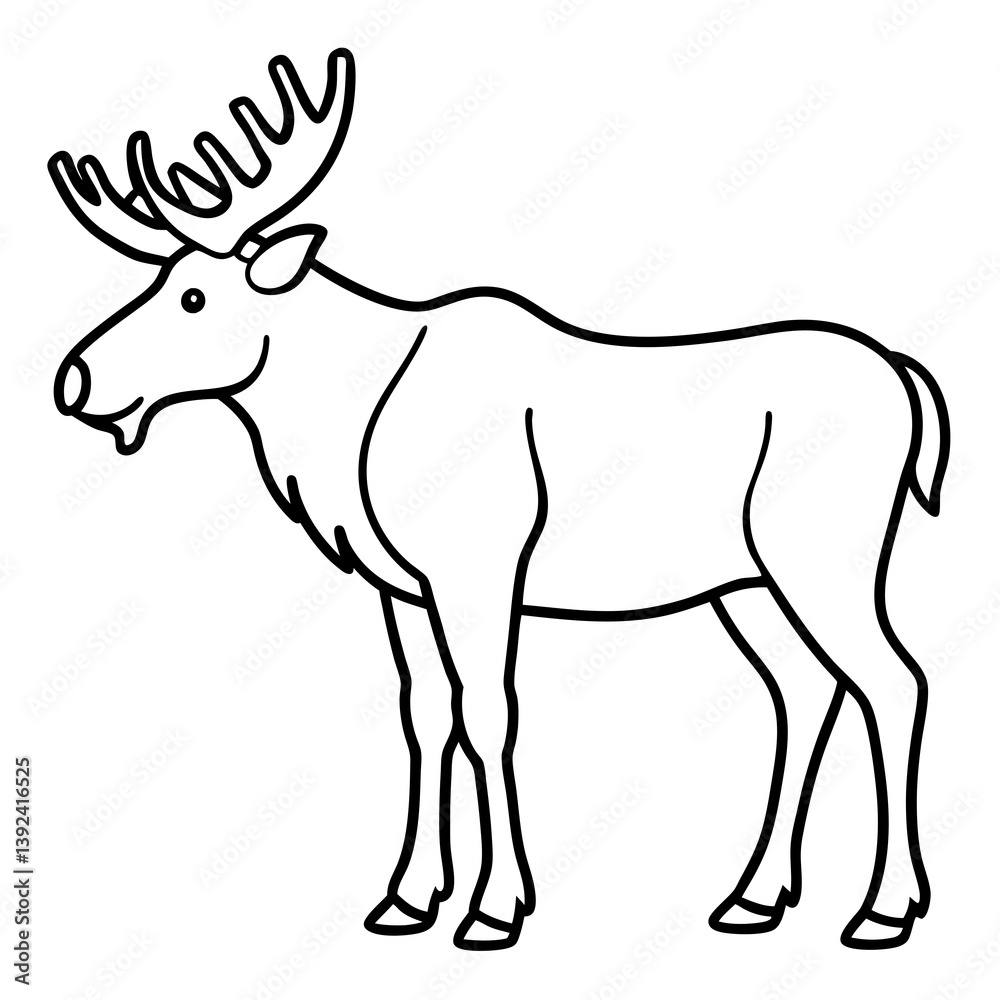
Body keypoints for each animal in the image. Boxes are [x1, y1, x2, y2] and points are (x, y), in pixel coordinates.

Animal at [49, 47, 950, 951]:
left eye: (195, 296)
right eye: (159, 282)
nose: (75, 381)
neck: (345, 432)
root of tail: (908, 378)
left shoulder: (476, 570)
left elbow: (488, 715)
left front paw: (494, 907)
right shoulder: (403, 587)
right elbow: (424, 716)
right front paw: (408, 898)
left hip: (822, 559)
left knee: (894, 680)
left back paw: (884, 907)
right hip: (745, 582)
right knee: (804, 692)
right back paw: (755, 897)